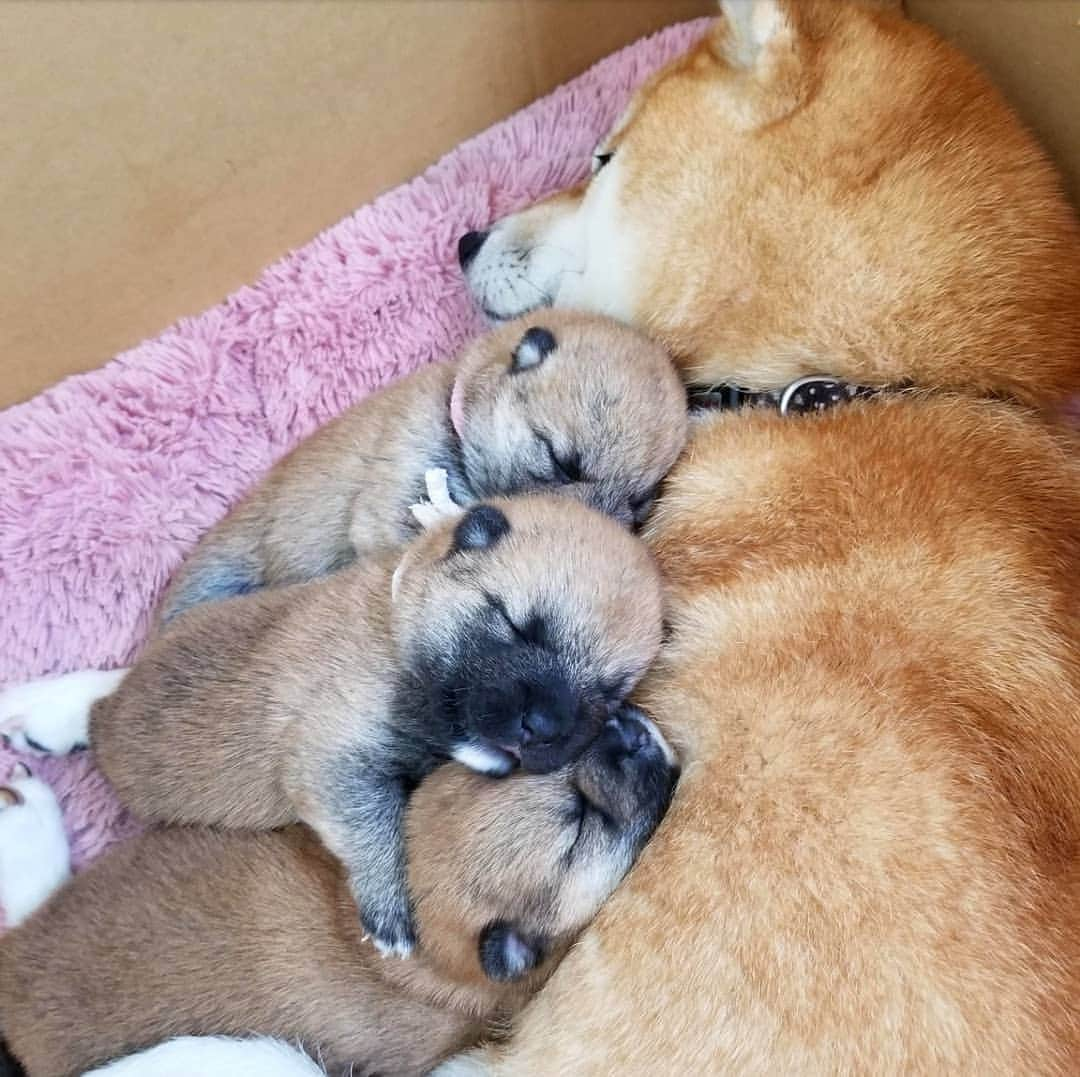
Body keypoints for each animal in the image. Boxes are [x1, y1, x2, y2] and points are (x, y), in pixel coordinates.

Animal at [2, 496, 665, 959]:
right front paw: (389, 911)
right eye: (516, 624)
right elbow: (375, 827)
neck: (399, 612)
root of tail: (110, 722)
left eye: (611, 691)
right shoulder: (334, 763)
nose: (543, 726)